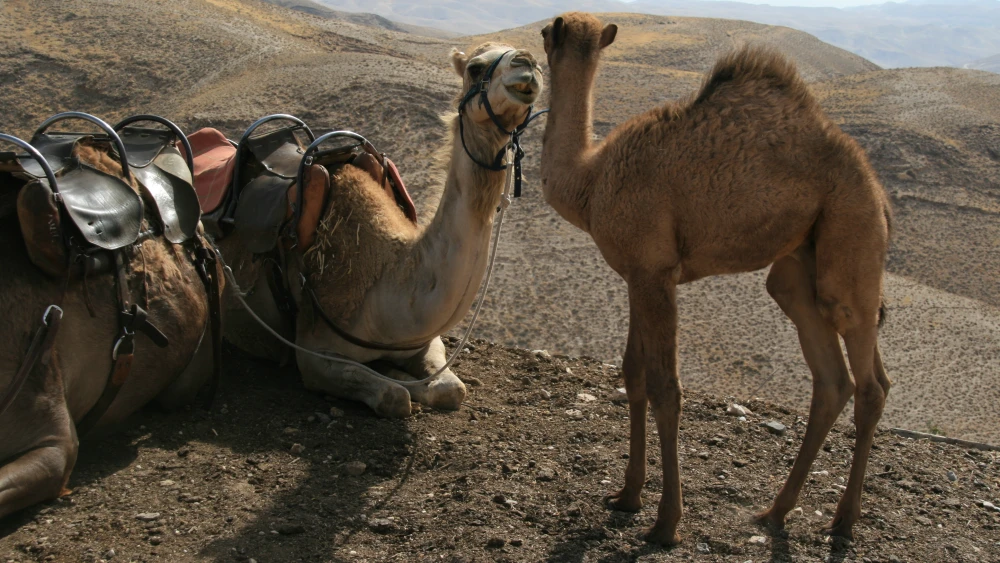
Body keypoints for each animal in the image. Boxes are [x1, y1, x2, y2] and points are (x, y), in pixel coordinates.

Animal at [216, 42, 543, 418]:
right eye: (475, 68)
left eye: (538, 63)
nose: (527, 63)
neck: (386, 276)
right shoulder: (314, 354)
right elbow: (393, 397)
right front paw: (395, 379)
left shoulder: (423, 340)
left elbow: (451, 390)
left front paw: (402, 374)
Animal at [539, 13, 892, 544]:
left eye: (545, 33)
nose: (534, 43)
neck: (591, 180)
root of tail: (881, 195)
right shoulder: (637, 274)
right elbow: (633, 373)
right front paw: (626, 496)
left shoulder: (653, 272)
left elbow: (666, 388)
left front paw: (665, 523)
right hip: (799, 264)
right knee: (834, 379)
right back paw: (776, 512)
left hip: (851, 234)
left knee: (868, 381)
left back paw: (844, 521)